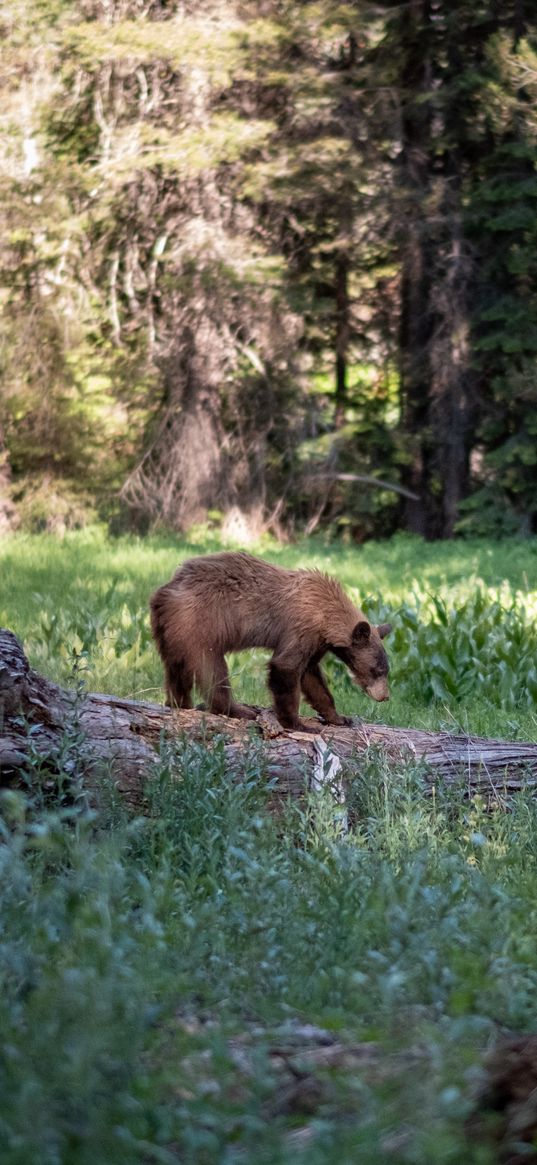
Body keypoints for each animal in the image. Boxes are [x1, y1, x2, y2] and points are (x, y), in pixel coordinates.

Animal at [148, 552, 391, 726]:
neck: (326, 613)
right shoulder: (301, 628)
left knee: (176, 669)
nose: (385, 697)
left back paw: (179, 703)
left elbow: (311, 676)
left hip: (169, 632)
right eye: (377, 670)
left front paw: (339, 717)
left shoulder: (317, 642)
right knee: (211, 670)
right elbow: (286, 666)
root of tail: (165, 592)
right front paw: (296, 723)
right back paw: (238, 710)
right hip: (200, 626)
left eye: (386, 670)